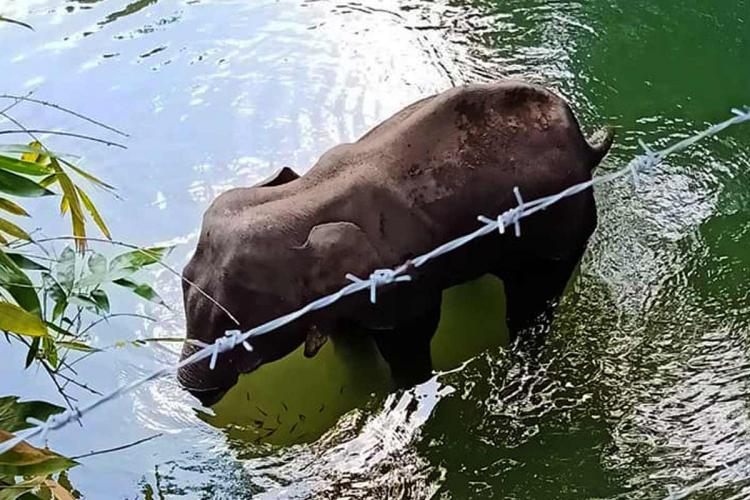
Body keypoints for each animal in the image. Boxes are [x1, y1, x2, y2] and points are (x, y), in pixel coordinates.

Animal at [178, 80, 614, 405]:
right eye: (183, 280)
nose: (193, 390)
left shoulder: (400, 282)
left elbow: (411, 336)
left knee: (532, 301)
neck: (307, 197)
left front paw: (403, 392)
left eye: (237, 329)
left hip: (562, 224)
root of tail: (586, 146)